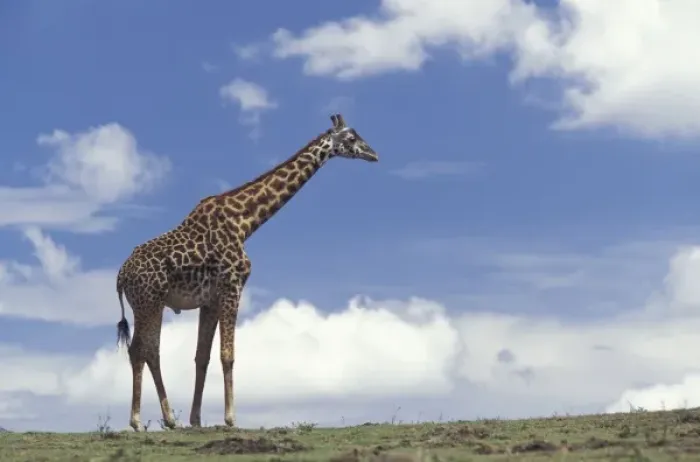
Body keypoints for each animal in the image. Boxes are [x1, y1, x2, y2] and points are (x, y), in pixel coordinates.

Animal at [115, 114, 379, 431]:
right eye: (351, 138)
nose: (374, 154)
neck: (246, 222)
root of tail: (121, 275)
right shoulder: (232, 286)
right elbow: (227, 355)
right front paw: (230, 418)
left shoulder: (210, 300)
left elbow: (202, 357)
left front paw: (195, 420)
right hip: (148, 302)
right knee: (138, 350)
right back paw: (137, 421)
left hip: (152, 304)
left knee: (151, 351)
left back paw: (169, 419)